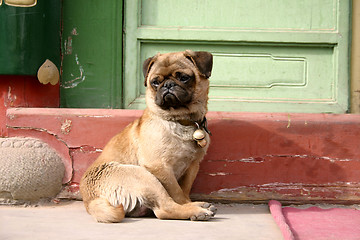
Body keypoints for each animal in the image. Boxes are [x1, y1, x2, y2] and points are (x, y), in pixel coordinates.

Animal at [80, 50, 215, 223]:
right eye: (155, 82)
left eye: (184, 77)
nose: (168, 85)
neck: (180, 120)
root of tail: (91, 202)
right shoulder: (160, 168)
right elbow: (177, 193)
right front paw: (187, 205)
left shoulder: (192, 166)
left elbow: (184, 191)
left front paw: (189, 201)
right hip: (144, 176)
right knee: (165, 209)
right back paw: (196, 211)